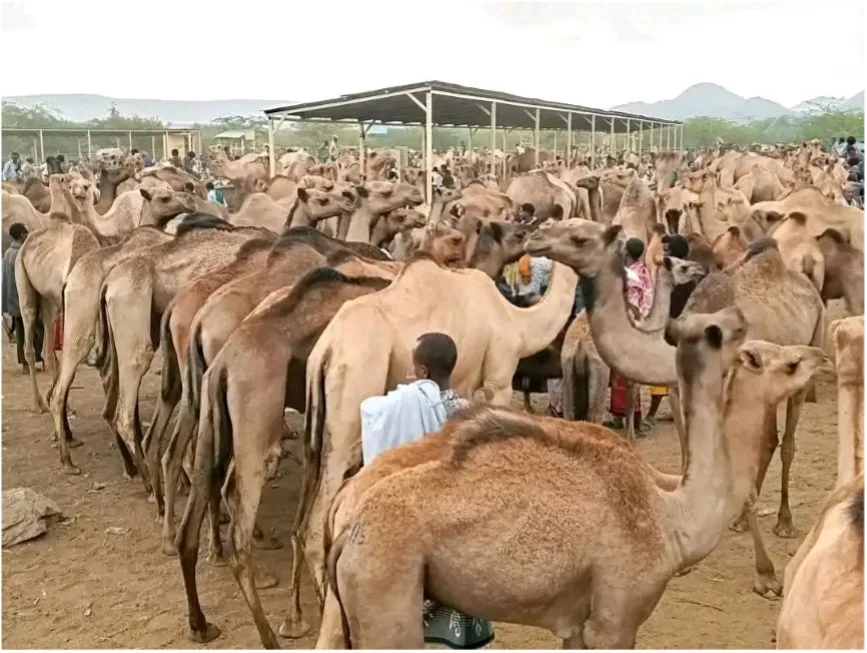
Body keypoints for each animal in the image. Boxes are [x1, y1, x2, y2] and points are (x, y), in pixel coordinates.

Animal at [319, 307, 751, 649]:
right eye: (721, 330)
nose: (741, 316)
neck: (672, 518)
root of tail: (346, 530)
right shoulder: (616, 618)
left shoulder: (578, 626)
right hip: (385, 584)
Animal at [526, 223, 825, 537]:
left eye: (579, 238)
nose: (536, 236)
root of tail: (811, 290)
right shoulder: (680, 390)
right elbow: (687, 449)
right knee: (769, 439)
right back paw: (744, 518)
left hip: (812, 343)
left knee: (788, 441)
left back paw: (784, 521)